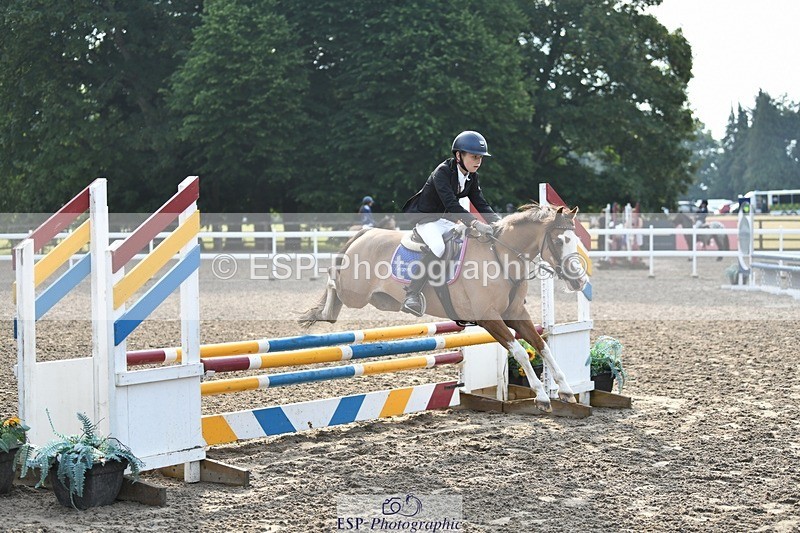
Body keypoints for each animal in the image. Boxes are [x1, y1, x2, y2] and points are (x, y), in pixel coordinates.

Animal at [299, 204, 590, 412]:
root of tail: (365, 233)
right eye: (559, 241)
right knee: (333, 280)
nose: (579, 281)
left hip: (380, 300)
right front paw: (541, 396)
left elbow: (542, 346)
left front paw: (565, 390)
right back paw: (319, 314)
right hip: (354, 293)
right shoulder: (489, 318)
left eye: (574, 239)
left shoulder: (516, 314)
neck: (500, 257)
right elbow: (519, 351)